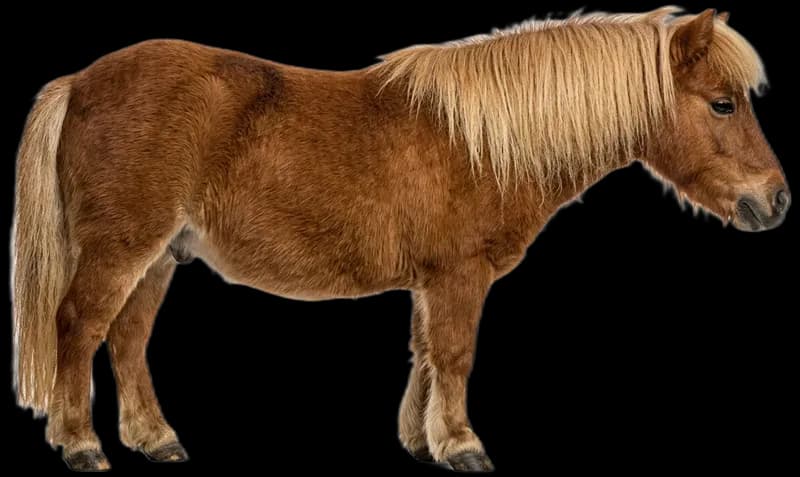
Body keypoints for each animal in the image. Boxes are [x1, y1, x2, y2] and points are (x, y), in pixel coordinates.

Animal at [11, 7, 789, 472]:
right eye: (722, 104)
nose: (776, 200)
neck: (482, 141)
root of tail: (79, 82)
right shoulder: (458, 276)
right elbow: (455, 355)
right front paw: (462, 444)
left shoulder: (429, 280)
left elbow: (423, 354)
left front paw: (421, 438)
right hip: (121, 251)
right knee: (78, 327)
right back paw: (80, 444)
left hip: (158, 258)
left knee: (127, 340)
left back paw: (156, 439)